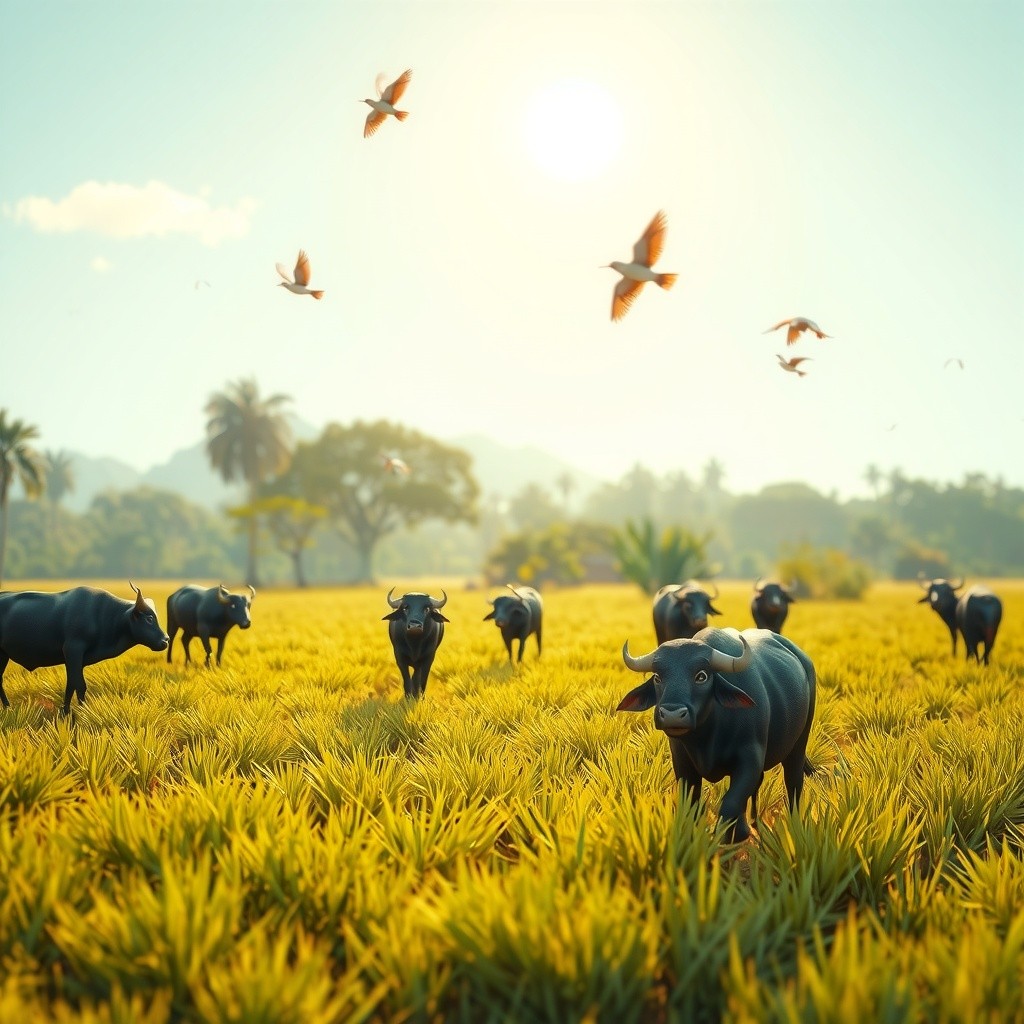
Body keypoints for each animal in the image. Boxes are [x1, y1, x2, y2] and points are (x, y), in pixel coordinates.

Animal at [0, 582, 169, 713]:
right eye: (149, 618)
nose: (165, 640)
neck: (104, 615)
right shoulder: (73, 650)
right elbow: (79, 685)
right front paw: (81, 712)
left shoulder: (76, 660)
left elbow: (71, 684)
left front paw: (67, 712)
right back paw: (7, 707)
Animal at [617, 626, 817, 842]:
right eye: (657, 677)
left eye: (701, 676)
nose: (672, 714)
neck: (708, 737)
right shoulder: (682, 762)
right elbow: (692, 803)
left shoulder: (750, 760)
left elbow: (730, 802)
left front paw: (727, 838)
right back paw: (753, 822)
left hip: (799, 744)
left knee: (793, 779)